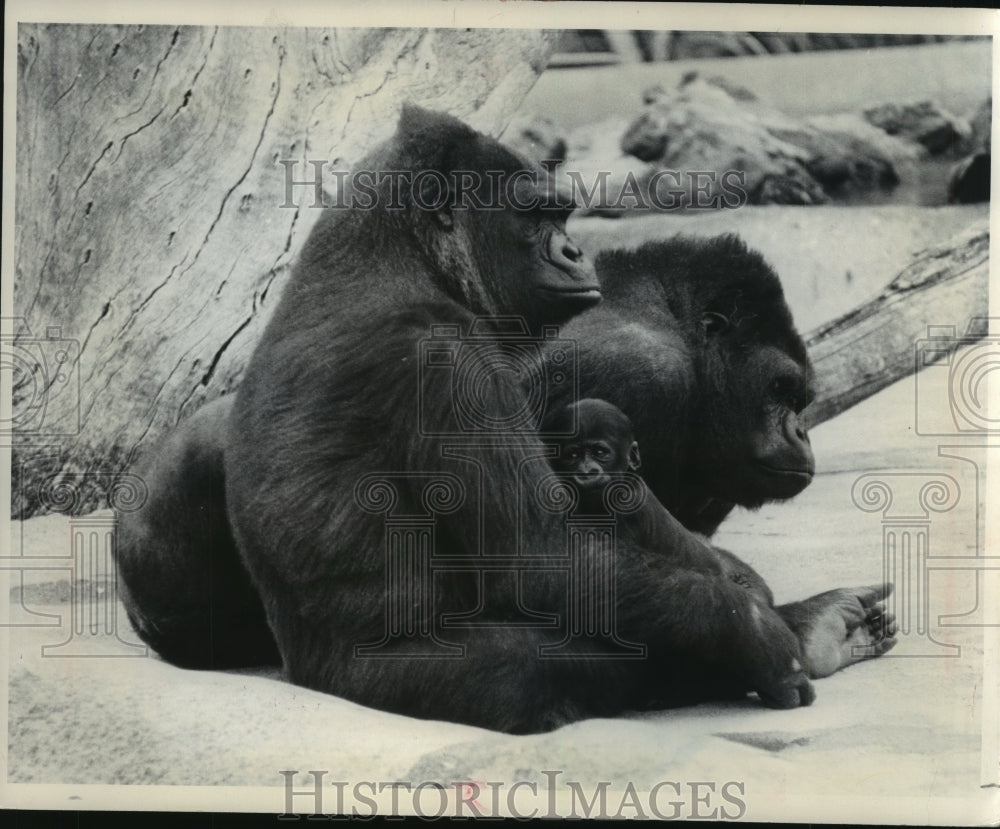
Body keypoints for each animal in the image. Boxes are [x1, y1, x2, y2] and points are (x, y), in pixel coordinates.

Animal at [115, 105, 892, 732]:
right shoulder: (504, 365)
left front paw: (763, 603)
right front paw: (757, 629)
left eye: (799, 399)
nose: (800, 431)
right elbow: (546, 556)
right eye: (781, 391)